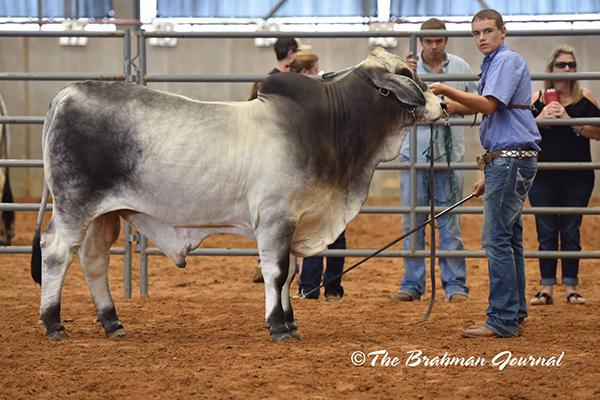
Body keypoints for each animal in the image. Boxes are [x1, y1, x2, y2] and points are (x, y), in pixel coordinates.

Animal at [30, 46, 442, 340]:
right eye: (407, 74)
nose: (442, 103)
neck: (327, 128)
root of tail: (68, 93)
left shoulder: (294, 222)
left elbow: (289, 274)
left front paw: (291, 322)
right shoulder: (276, 219)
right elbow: (276, 272)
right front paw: (277, 326)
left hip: (105, 214)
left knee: (94, 260)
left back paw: (112, 322)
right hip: (74, 205)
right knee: (56, 252)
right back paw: (54, 324)